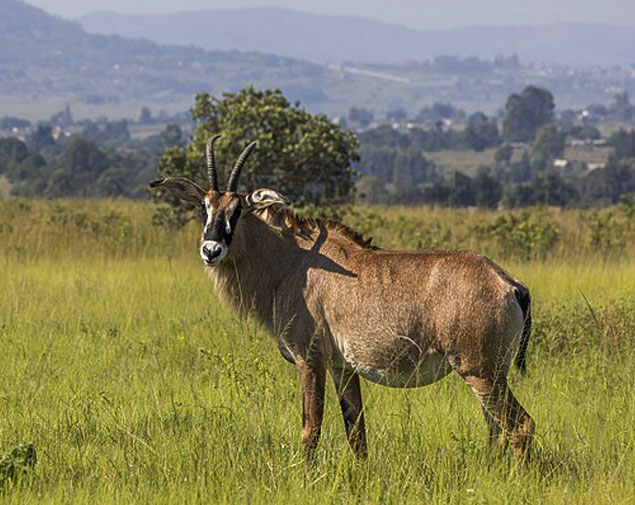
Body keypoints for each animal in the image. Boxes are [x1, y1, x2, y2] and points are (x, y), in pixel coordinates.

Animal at [152, 137, 536, 460]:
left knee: (519, 426)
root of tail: (510, 284)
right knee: (496, 430)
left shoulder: (310, 360)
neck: (293, 261)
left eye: (238, 210)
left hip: (480, 372)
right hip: (487, 374)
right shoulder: (343, 369)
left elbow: (311, 430)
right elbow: (357, 434)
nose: (211, 250)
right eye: (204, 208)